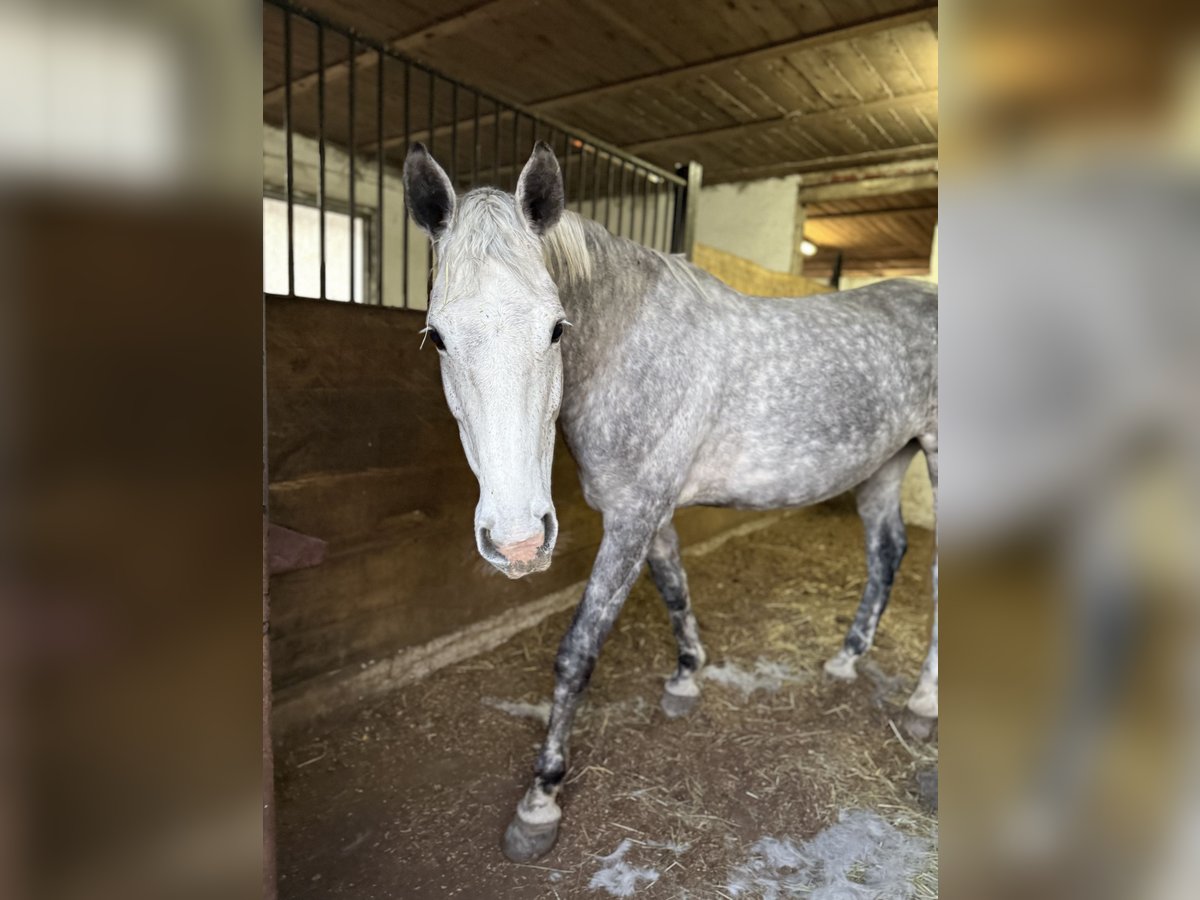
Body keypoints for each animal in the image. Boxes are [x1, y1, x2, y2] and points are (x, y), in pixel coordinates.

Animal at [402, 141, 938, 862]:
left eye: (556, 328)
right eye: (437, 335)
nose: (519, 542)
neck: (628, 348)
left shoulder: (633, 518)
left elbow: (579, 651)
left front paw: (540, 800)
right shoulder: (646, 514)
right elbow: (676, 589)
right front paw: (687, 678)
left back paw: (923, 706)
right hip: (885, 465)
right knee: (887, 553)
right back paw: (846, 660)